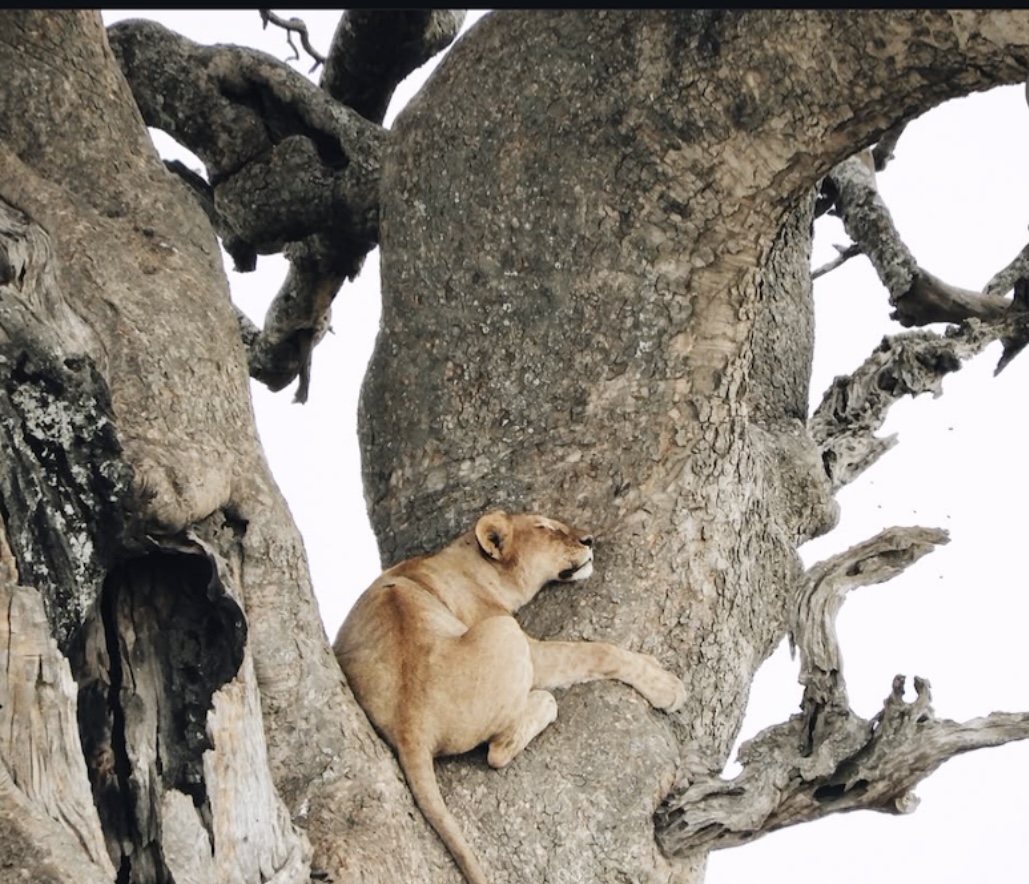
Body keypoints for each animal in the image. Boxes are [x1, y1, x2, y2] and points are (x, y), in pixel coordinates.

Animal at [333, 510, 687, 884]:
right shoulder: (527, 645)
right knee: (499, 750)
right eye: (546, 528)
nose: (589, 539)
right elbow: (597, 651)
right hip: (507, 635)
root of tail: (410, 726)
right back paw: (542, 703)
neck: (471, 564)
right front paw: (667, 686)